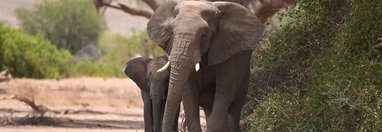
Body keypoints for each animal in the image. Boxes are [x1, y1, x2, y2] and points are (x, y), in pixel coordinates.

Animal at [148, 0, 264, 131]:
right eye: (172, 32)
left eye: (203, 35)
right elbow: (189, 92)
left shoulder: (226, 49)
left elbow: (225, 87)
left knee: (235, 106)